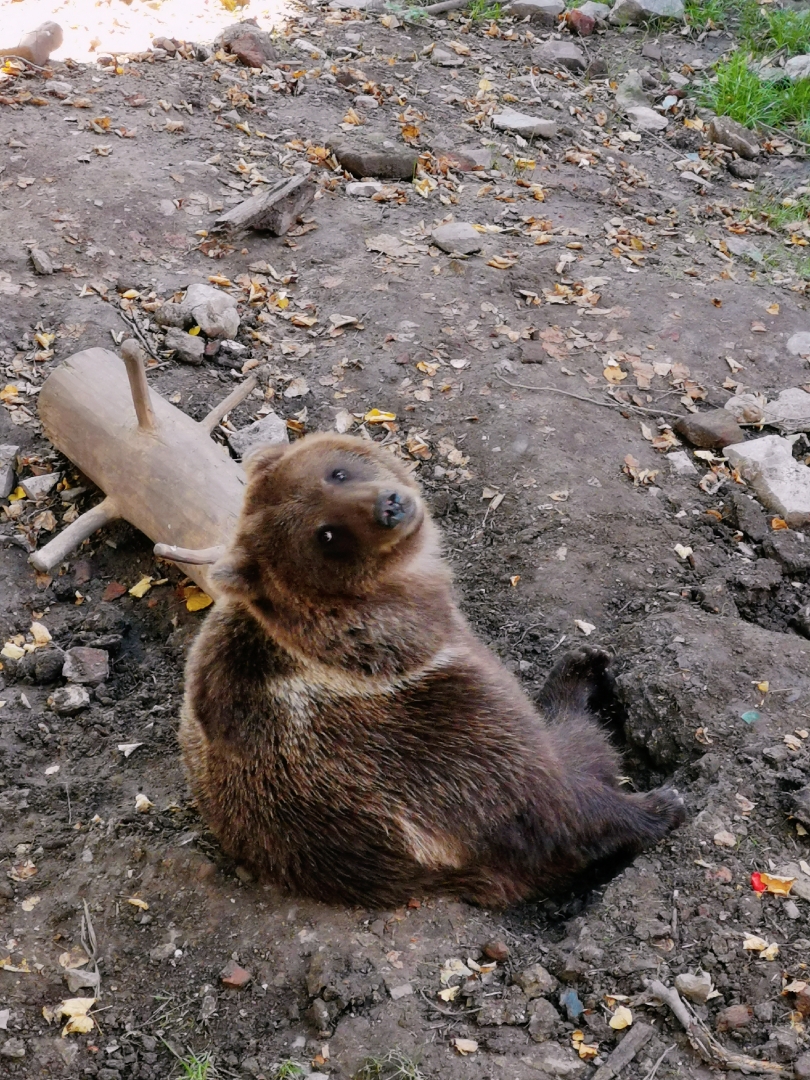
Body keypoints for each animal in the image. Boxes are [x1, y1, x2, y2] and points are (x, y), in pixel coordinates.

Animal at [179, 429, 686, 902]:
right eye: (325, 535)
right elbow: (543, 803)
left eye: (336, 473)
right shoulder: (417, 729)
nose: (389, 505)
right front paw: (658, 804)